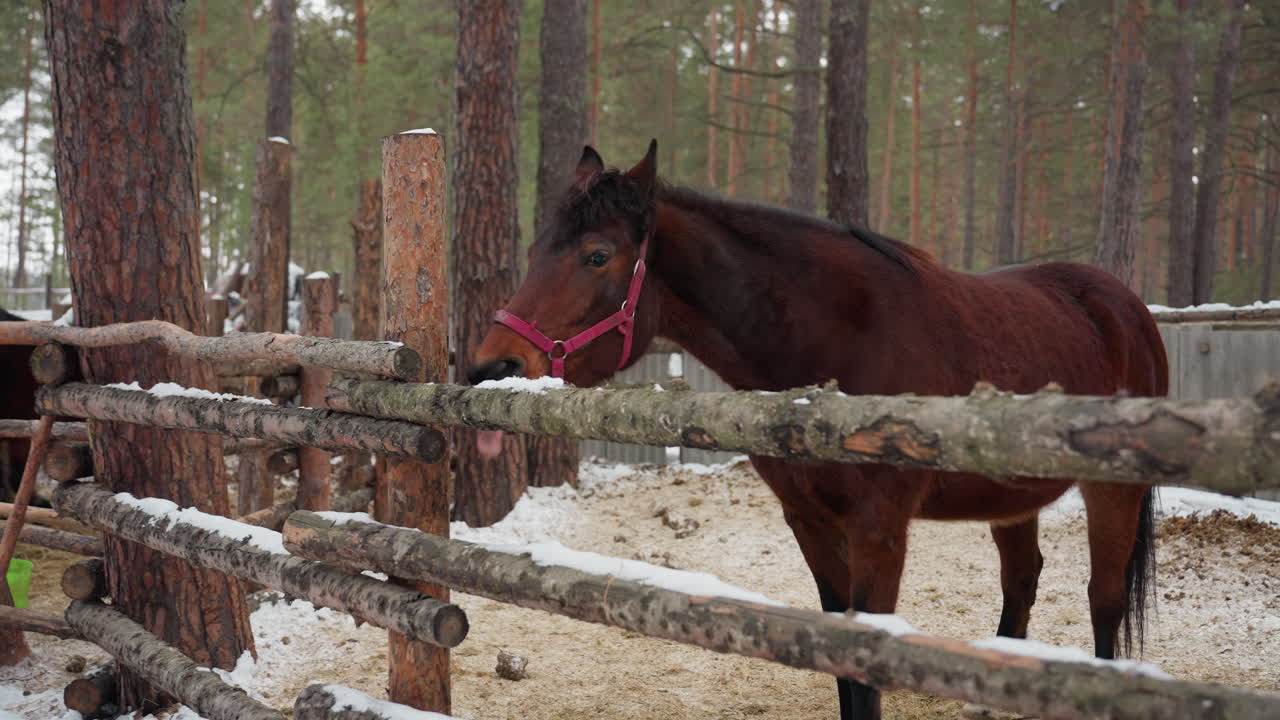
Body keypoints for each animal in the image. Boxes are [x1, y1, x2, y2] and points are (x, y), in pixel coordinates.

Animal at [466, 141, 1167, 720]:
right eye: (533, 252)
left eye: (597, 255)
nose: (491, 367)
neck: (838, 345)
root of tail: (1124, 304)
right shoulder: (809, 523)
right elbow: (838, 660)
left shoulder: (879, 529)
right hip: (1010, 500)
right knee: (1021, 584)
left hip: (1114, 494)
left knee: (1104, 602)